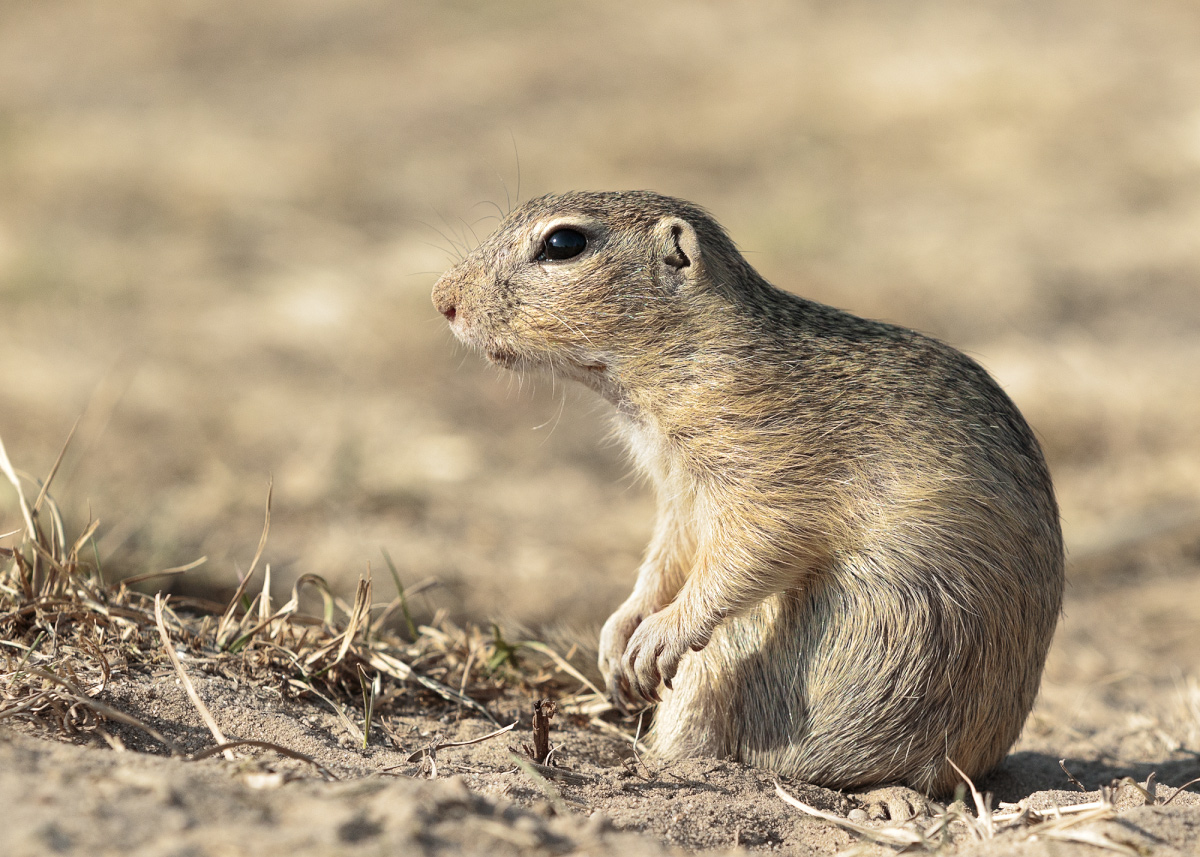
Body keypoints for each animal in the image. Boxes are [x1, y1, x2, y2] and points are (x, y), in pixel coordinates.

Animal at [432, 190, 1060, 792]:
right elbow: (664, 561)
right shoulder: (680, 500)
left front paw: (658, 635)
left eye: (563, 243)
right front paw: (617, 636)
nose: (442, 299)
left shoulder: (767, 471)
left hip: (726, 668)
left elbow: (752, 552)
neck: (686, 357)